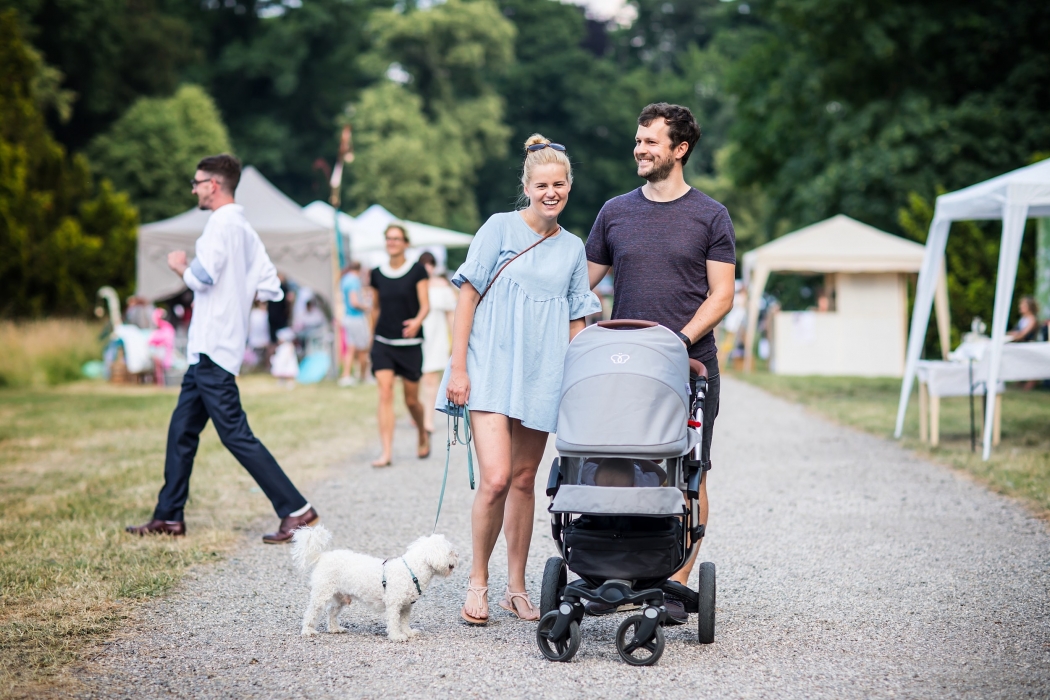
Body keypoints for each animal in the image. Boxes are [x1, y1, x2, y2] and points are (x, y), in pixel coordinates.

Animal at [291, 528, 455, 642]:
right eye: (451, 552)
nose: (457, 558)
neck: (412, 570)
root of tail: (322, 556)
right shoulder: (394, 605)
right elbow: (394, 623)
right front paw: (397, 636)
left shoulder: (406, 606)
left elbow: (404, 622)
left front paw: (408, 632)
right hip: (322, 593)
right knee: (311, 612)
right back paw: (308, 631)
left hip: (340, 597)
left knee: (331, 611)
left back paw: (334, 628)